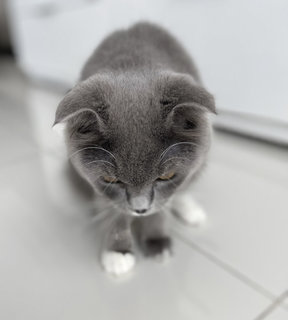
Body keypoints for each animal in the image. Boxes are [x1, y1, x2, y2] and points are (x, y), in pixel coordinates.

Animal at [53, 21, 215, 278]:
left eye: (167, 176)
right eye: (111, 179)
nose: (140, 209)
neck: (135, 66)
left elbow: (163, 204)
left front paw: (157, 242)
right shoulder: (100, 186)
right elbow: (114, 210)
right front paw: (117, 253)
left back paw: (190, 210)